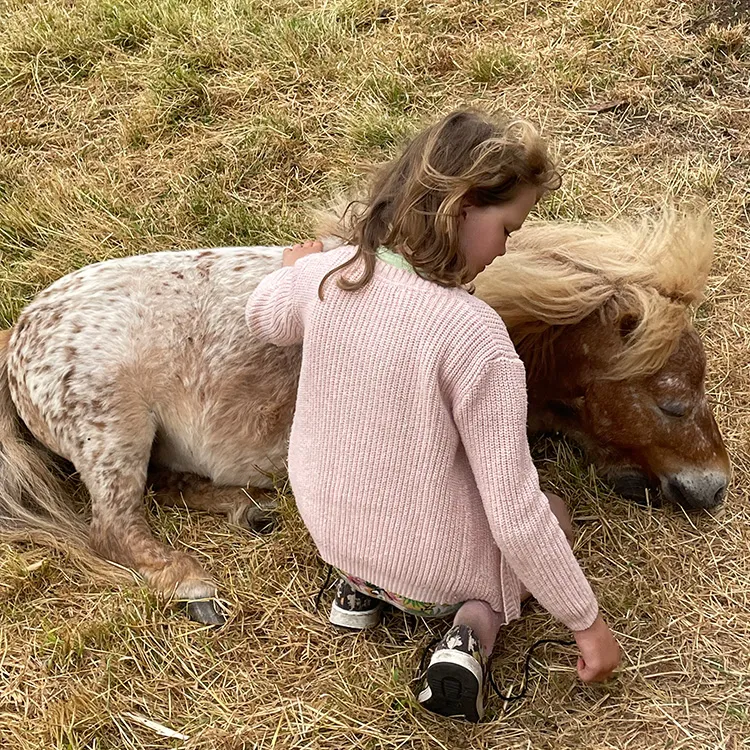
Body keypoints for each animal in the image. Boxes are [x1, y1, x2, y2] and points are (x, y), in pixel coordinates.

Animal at [0, 212, 730, 624]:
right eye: (671, 401)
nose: (714, 487)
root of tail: (19, 336)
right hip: (115, 430)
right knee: (115, 526)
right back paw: (191, 585)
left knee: (163, 486)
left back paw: (247, 509)